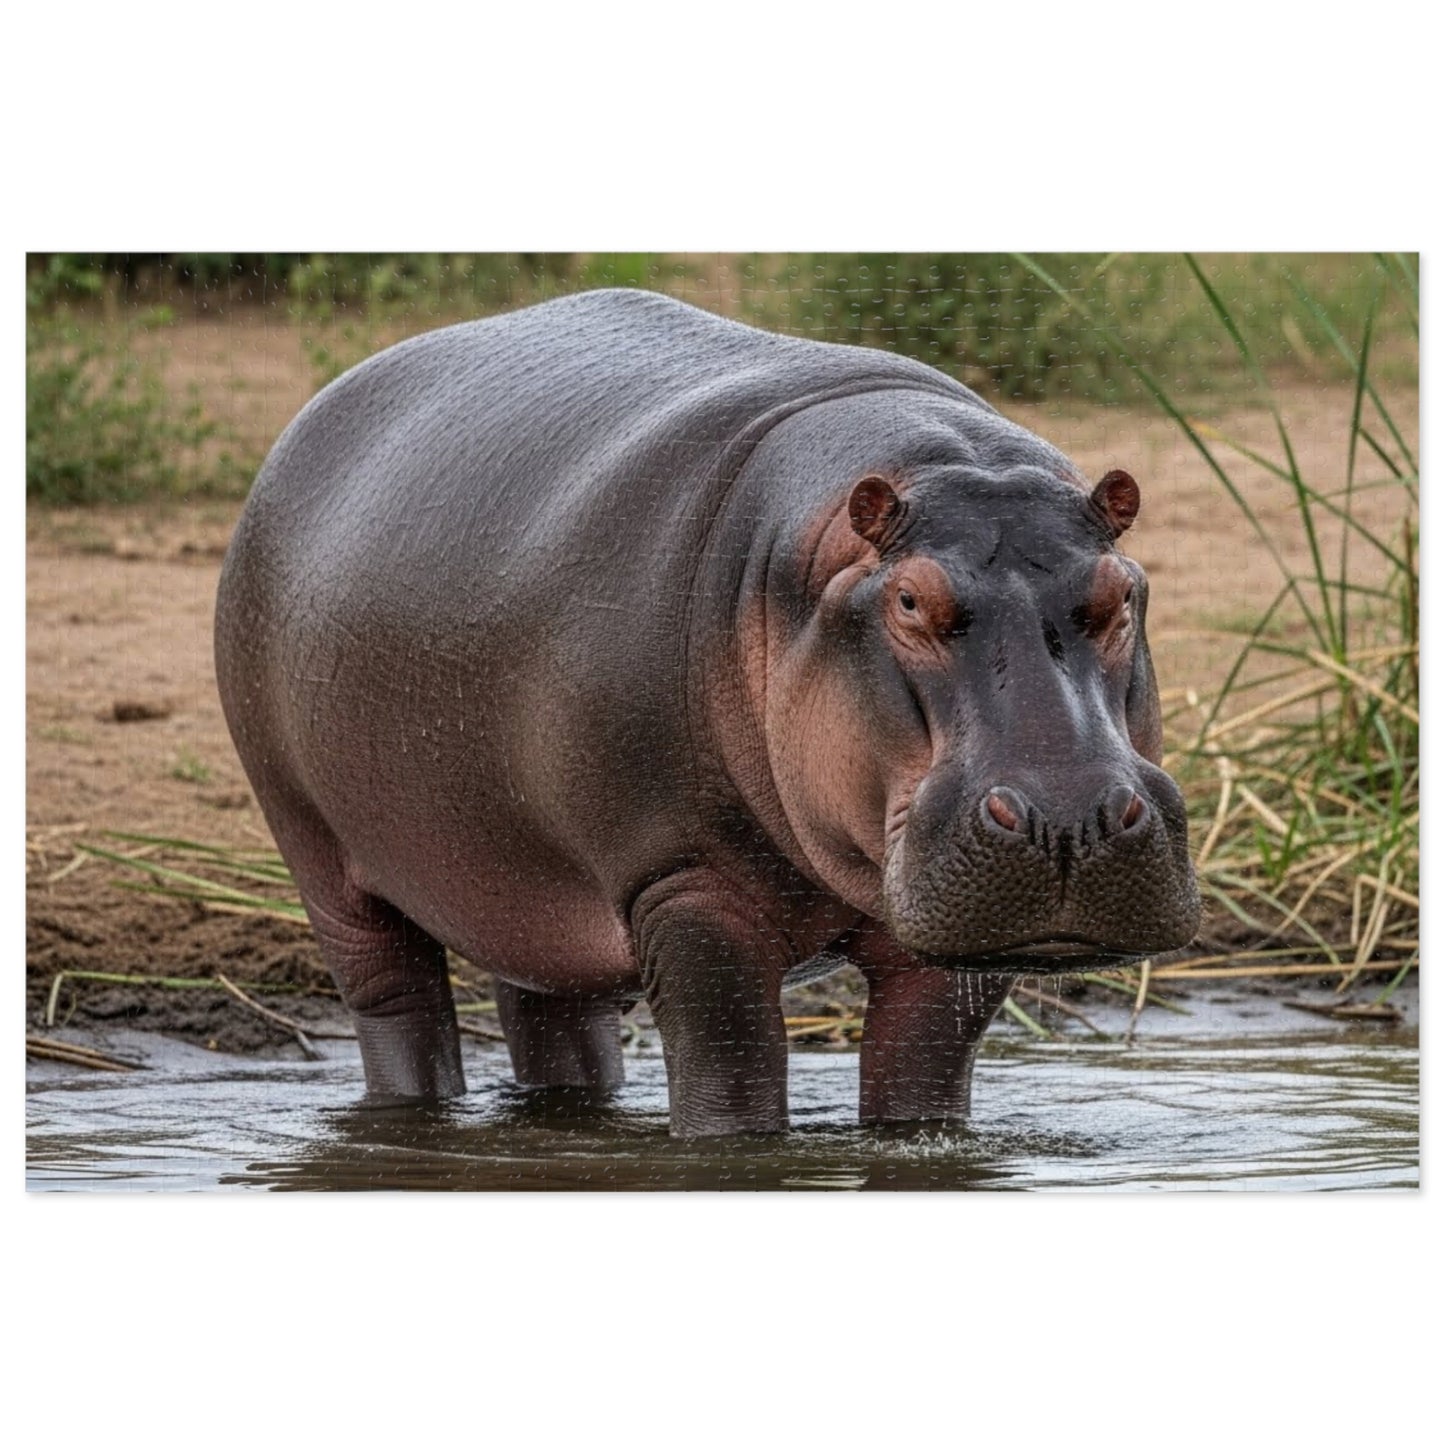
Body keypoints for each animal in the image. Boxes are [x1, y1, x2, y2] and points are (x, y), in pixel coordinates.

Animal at [215, 288, 1199, 1138]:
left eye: (1120, 591)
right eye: (910, 601)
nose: (1068, 818)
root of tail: (315, 415)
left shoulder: (944, 934)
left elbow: (922, 1073)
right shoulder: (679, 880)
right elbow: (730, 1069)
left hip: (530, 880)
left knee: (553, 1013)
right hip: (317, 850)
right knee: (396, 1002)